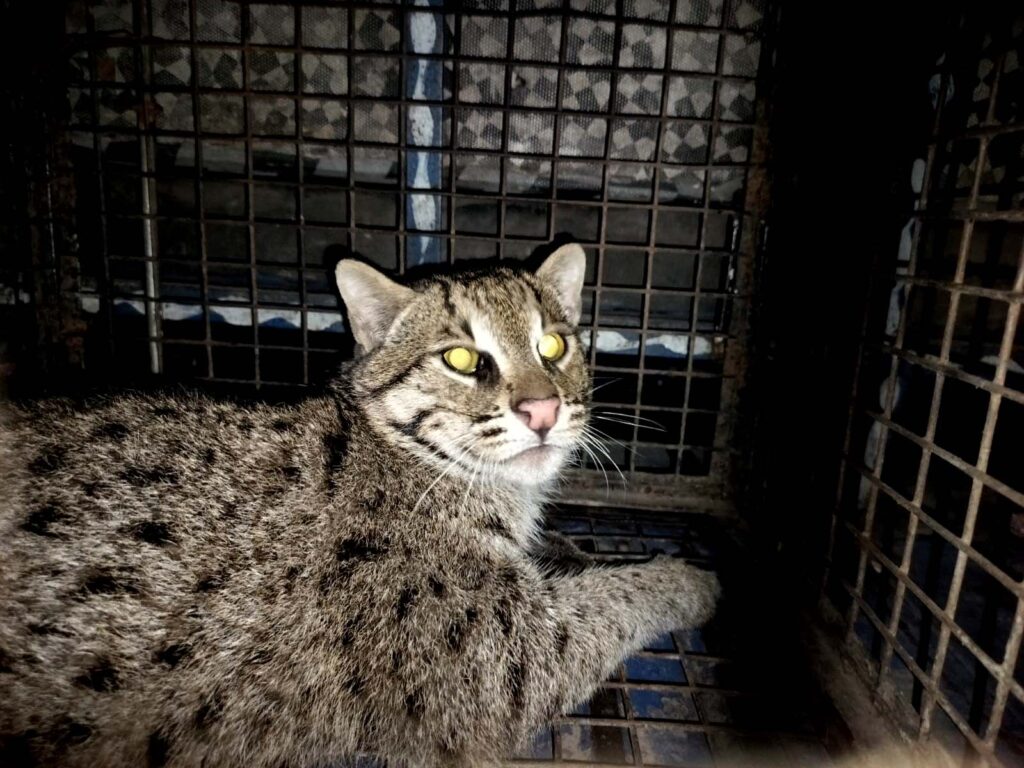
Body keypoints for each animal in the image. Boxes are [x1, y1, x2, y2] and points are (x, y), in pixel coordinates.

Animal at [0, 243, 720, 768]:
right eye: (463, 359)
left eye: (554, 345)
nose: (542, 410)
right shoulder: (499, 662)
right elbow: (609, 601)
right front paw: (683, 580)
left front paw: (578, 548)